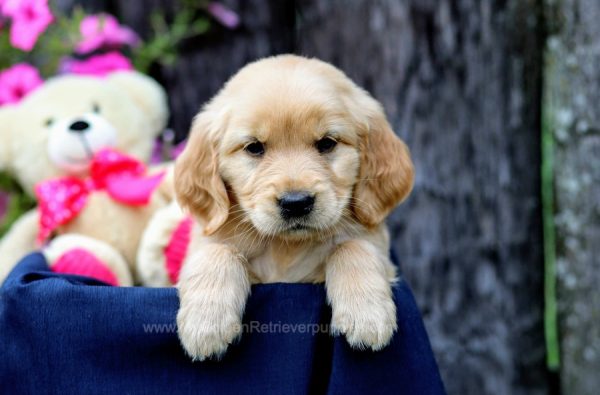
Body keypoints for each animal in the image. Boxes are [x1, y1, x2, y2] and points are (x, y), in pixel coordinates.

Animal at [176, 55, 414, 362]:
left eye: (327, 143)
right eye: (254, 147)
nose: (296, 203)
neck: (285, 247)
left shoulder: (377, 245)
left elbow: (353, 246)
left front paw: (367, 315)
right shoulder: (209, 239)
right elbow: (217, 251)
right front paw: (206, 324)